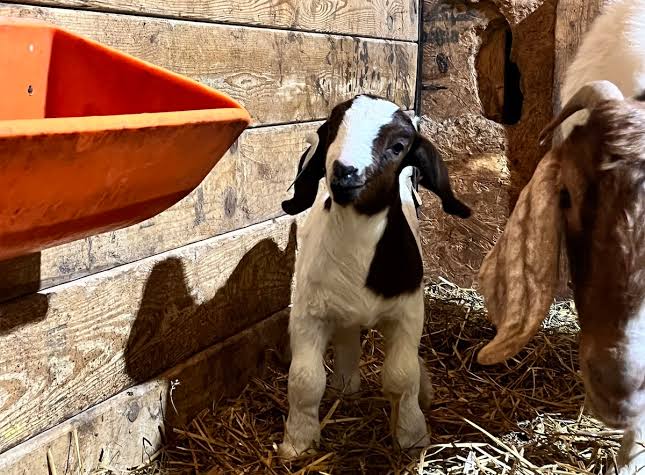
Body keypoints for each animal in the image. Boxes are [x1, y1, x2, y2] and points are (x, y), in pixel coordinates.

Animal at [277, 94, 472, 458]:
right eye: (332, 130)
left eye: (399, 145)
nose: (344, 172)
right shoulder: (310, 313)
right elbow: (305, 380)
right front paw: (298, 441)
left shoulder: (408, 312)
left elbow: (401, 375)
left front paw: (411, 434)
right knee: (347, 340)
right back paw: (345, 385)